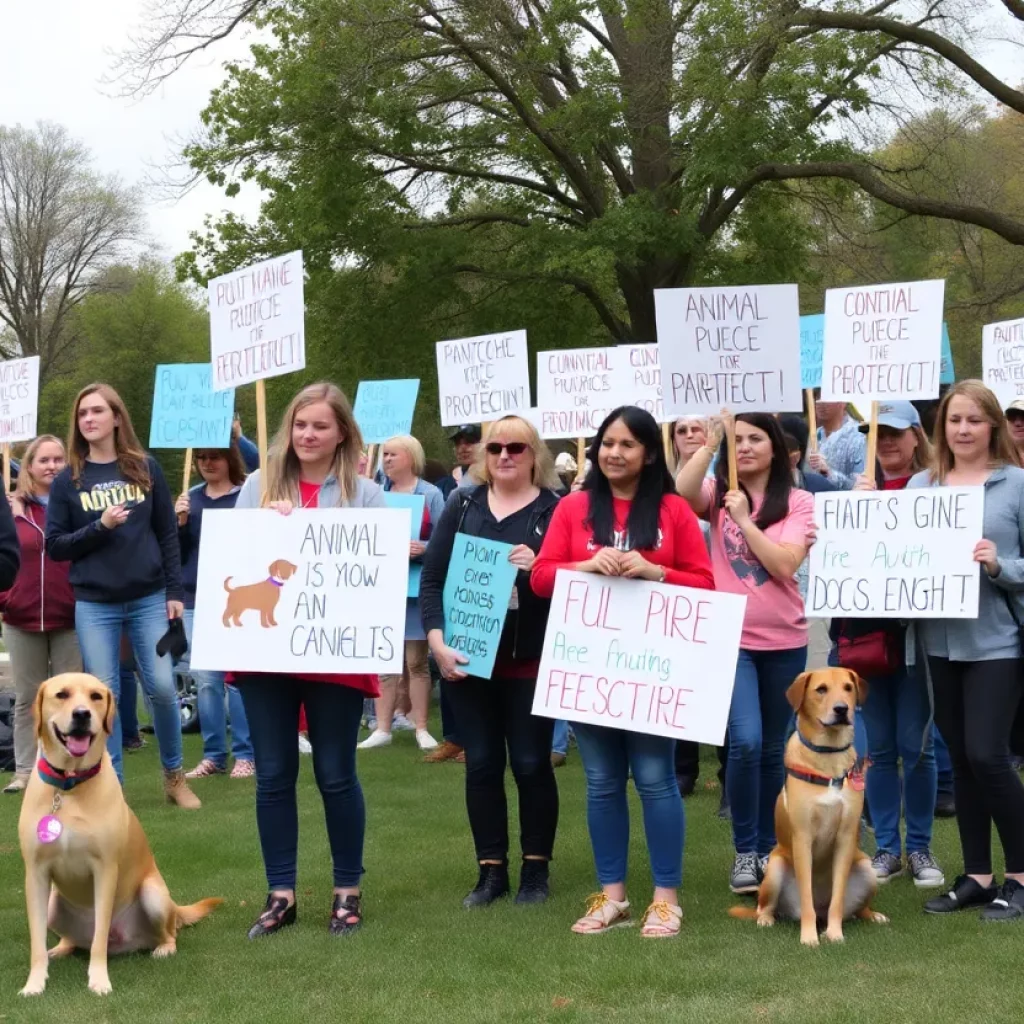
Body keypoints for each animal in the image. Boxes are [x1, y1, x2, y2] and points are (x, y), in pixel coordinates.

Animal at [18, 675, 223, 995]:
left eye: (96, 696)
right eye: (61, 695)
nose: (82, 714)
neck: (69, 787)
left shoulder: (105, 871)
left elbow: (99, 936)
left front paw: (99, 980)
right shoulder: (36, 873)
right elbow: (36, 942)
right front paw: (35, 983)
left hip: (153, 895)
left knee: (165, 934)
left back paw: (163, 948)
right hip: (53, 906)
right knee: (72, 939)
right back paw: (61, 948)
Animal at [729, 667, 888, 946]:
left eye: (848, 688)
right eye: (821, 689)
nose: (841, 709)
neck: (828, 754)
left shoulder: (846, 837)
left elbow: (837, 899)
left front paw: (834, 933)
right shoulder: (802, 838)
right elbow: (806, 899)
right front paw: (809, 937)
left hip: (867, 869)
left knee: (853, 908)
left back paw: (871, 915)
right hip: (775, 868)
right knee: (766, 906)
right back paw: (766, 919)